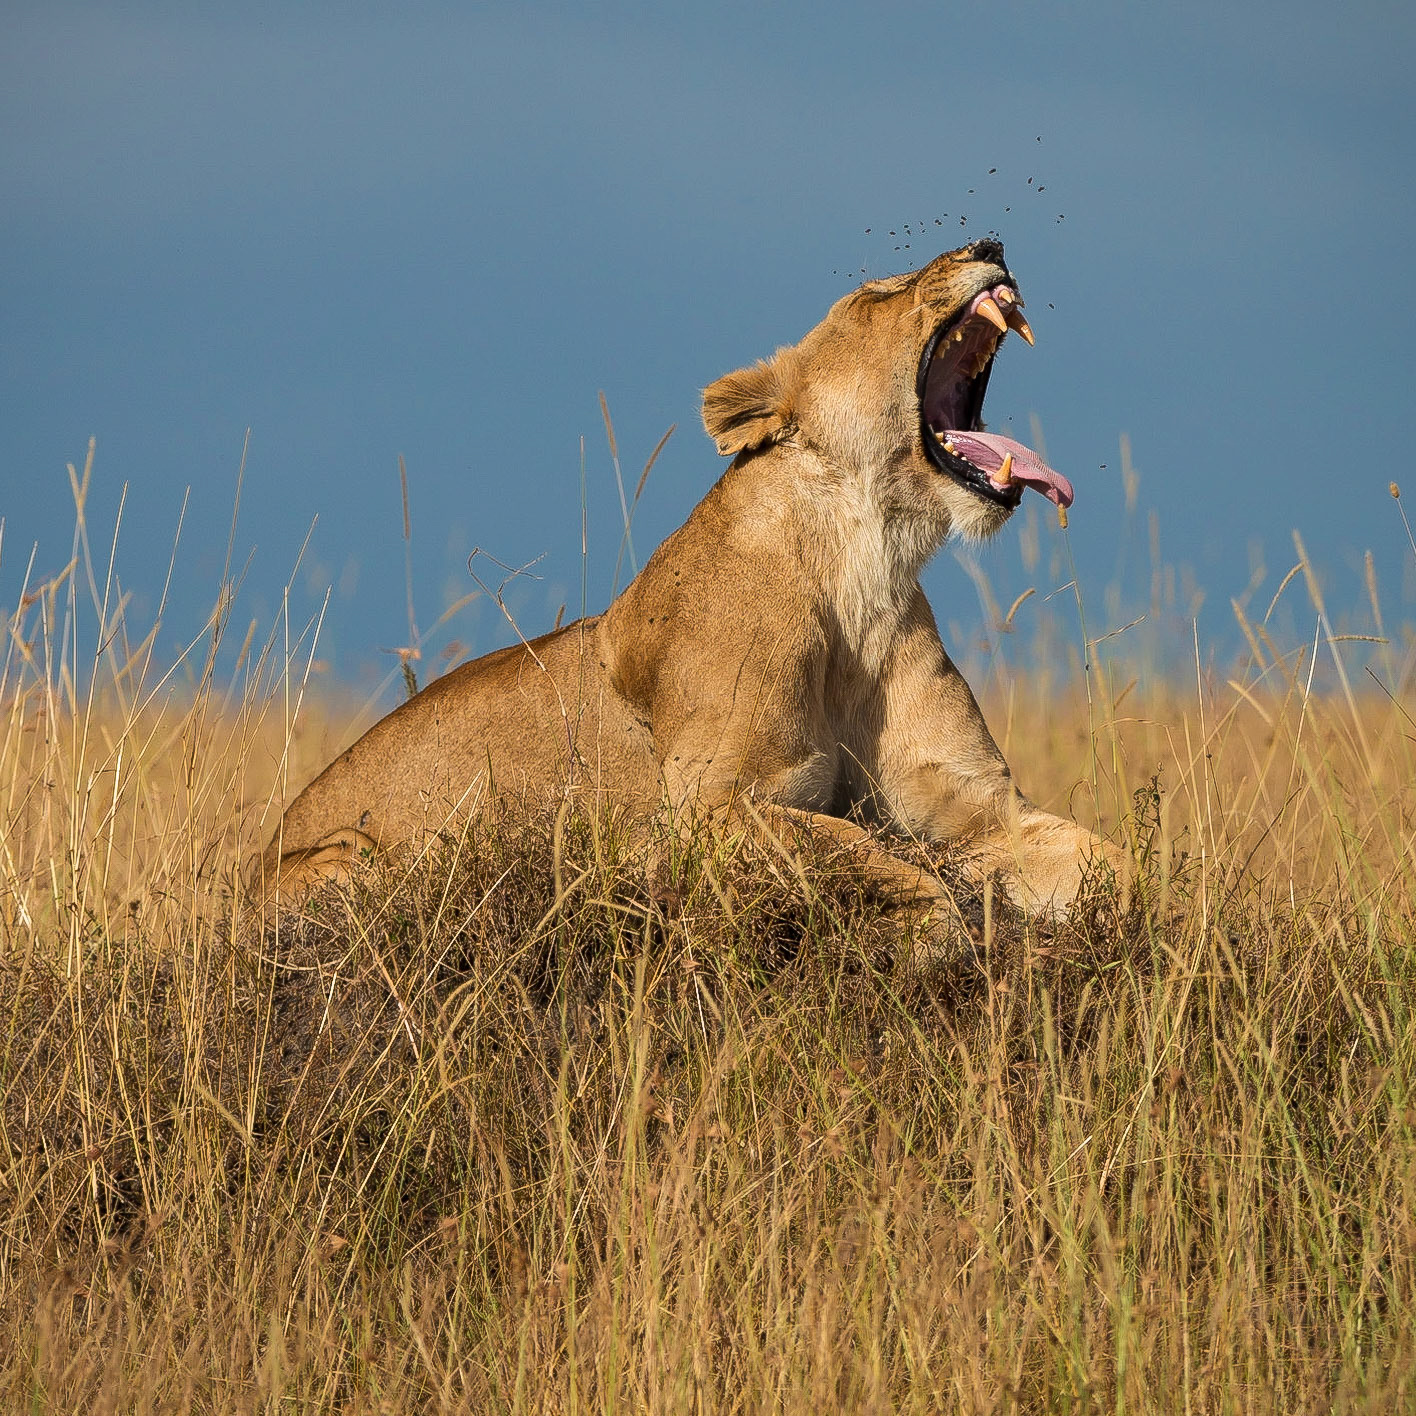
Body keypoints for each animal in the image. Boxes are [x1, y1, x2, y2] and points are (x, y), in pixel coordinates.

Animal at [259, 238, 1120, 918]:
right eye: (875, 294)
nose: (991, 243)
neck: (863, 567)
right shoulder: (707, 810)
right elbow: (870, 855)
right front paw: (945, 935)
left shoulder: (983, 811)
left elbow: (1113, 862)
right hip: (349, 860)